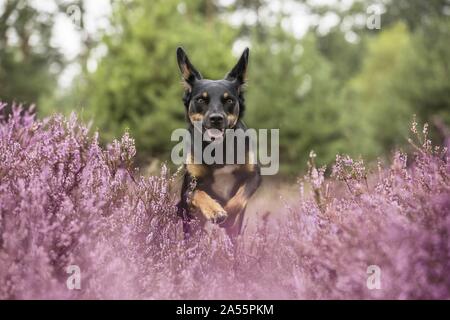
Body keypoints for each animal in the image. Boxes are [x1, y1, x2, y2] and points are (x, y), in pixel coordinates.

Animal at [175, 47, 260, 238]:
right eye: (201, 99)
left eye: (229, 100)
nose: (216, 118)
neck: (218, 148)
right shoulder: (188, 189)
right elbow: (198, 193)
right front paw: (215, 211)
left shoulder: (254, 176)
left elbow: (239, 199)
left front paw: (228, 214)